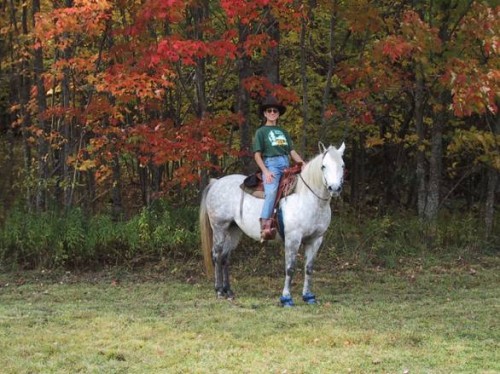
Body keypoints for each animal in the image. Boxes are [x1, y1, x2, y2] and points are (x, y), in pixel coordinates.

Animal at [197, 142, 346, 306]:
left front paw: (308, 296)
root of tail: (216, 183)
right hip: (219, 227)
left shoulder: (316, 240)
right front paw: (286, 298)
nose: (334, 188)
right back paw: (218, 291)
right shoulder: (293, 238)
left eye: (342, 165)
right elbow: (290, 268)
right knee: (217, 255)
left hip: (233, 230)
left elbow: (309, 268)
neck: (308, 199)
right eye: (323, 166)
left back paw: (228, 291)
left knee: (225, 257)